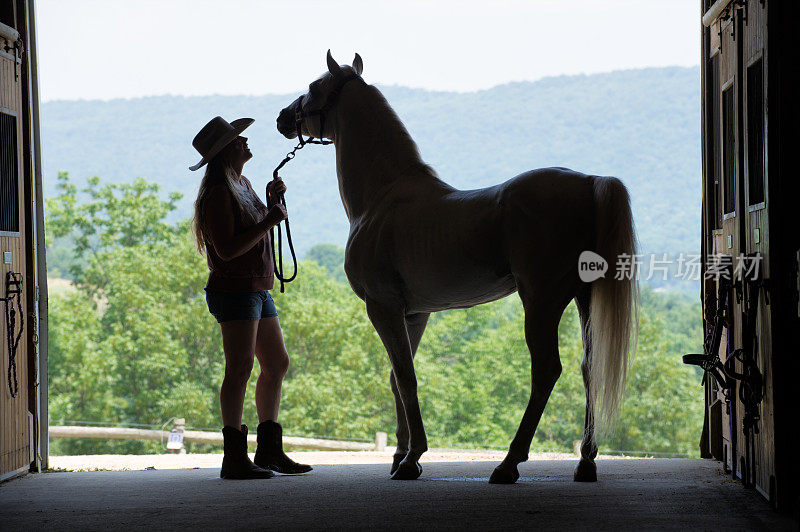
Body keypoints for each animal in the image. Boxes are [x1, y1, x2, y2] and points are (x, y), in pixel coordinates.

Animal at [276, 52, 636, 484]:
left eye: (314, 87)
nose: (282, 117)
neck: (383, 198)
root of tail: (588, 183)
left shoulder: (382, 308)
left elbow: (407, 378)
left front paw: (412, 459)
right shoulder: (414, 314)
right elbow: (397, 379)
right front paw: (400, 456)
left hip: (542, 302)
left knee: (546, 370)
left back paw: (509, 464)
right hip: (584, 297)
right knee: (588, 369)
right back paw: (585, 461)